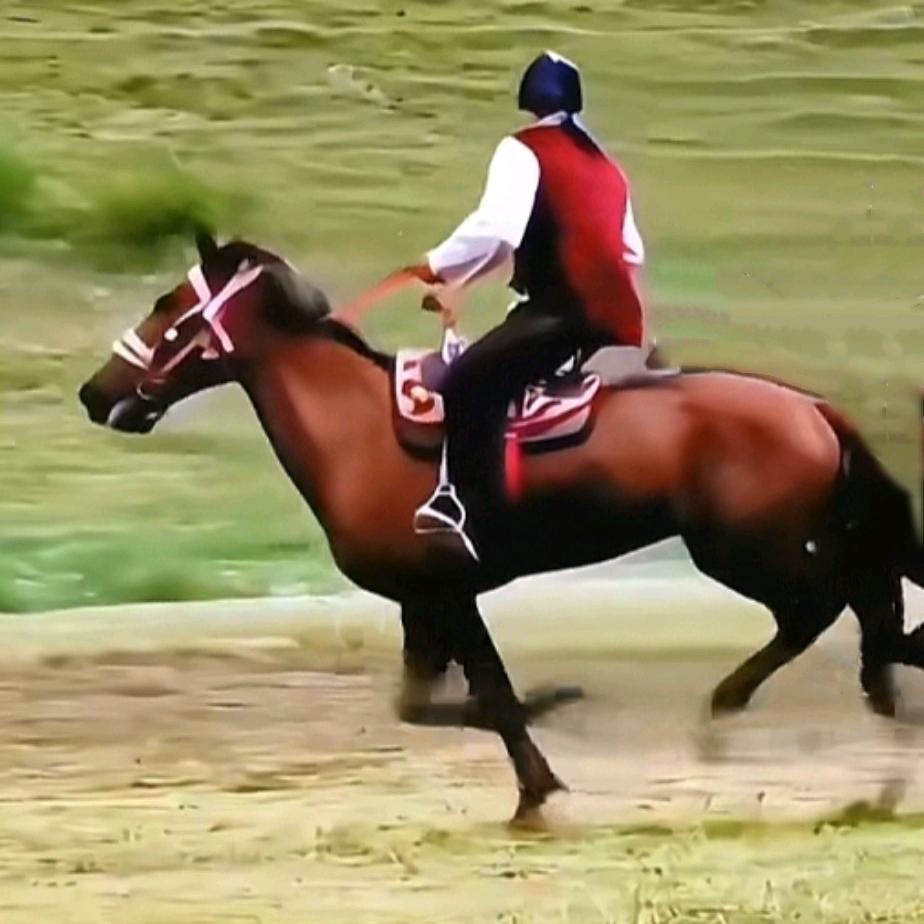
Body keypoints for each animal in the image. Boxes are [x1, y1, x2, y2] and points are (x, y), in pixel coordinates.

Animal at [79, 232, 924, 821]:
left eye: (169, 308)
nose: (95, 393)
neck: (356, 431)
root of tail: (813, 407)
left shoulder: (450, 591)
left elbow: (492, 692)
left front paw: (542, 773)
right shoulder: (422, 601)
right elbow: (429, 703)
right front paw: (544, 744)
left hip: (747, 550)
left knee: (824, 610)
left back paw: (741, 709)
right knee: (865, 603)